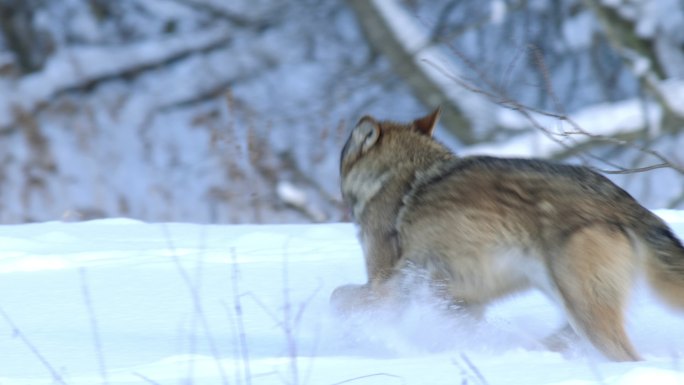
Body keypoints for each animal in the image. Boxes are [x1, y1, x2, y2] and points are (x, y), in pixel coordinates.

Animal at [332, 108, 684, 360]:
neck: (393, 174)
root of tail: (624, 200)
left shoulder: (385, 286)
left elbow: (338, 297)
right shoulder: (460, 301)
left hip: (584, 310)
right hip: (570, 304)